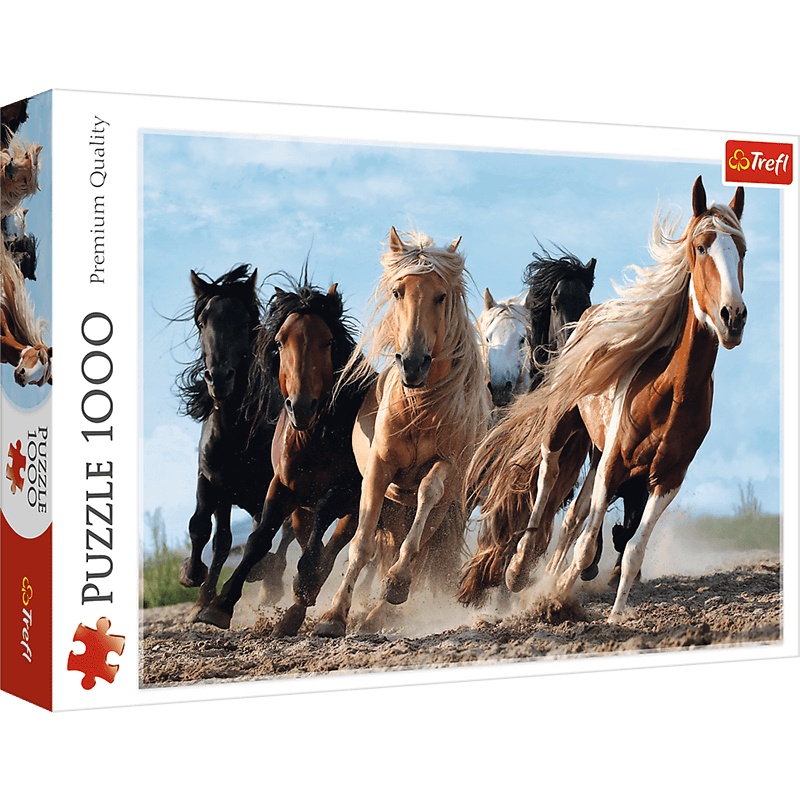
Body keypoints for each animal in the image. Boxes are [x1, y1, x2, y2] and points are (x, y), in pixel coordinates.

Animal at [175, 265, 287, 622]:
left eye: (245, 322)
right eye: (202, 322)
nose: (219, 378)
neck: (236, 436)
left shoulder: (270, 488)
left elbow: (260, 536)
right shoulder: (213, 482)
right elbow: (206, 531)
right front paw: (195, 583)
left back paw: (270, 580)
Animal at [195, 274, 373, 636]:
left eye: (328, 342)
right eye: (279, 343)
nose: (300, 406)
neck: (315, 438)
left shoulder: (347, 491)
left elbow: (322, 534)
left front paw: (304, 583)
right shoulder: (281, 486)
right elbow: (258, 538)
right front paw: (220, 605)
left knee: (333, 545)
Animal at [313, 227, 491, 638]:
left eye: (441, 296)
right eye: (398, 292)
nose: (412, 363)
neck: (419, 407)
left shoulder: (447, 467)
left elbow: (427, 494)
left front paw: (395, 584)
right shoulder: (379, 470)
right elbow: (361, 544)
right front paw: (333, 615)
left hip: (440, 512)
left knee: (420, 547)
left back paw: (382, 609)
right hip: (395, 508)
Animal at [461, 176, 747, 623]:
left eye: (743, 250)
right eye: (701, 246)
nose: (732, 316)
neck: (670, 392)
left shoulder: (667, 478)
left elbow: (630, 548)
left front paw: (612, 615)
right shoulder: (613, 460)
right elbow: (580, 539)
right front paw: (551, 595)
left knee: (574, 518)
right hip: (564, 427)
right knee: (546, 478)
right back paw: (520, 566)